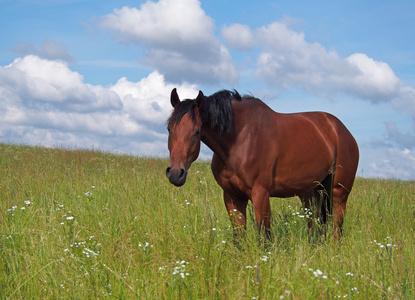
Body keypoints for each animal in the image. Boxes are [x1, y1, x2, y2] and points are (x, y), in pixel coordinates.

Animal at [166, 88, 360, 240]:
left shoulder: (261, 195)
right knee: (315, 226)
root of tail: (341, 130)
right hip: (311, 192)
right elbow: (239, 238)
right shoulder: (232, 196)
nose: (175, 173)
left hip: (338, 193)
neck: (240, 139)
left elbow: (264, 238)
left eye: (197, 131)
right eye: (169, 128)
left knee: (336, 229)